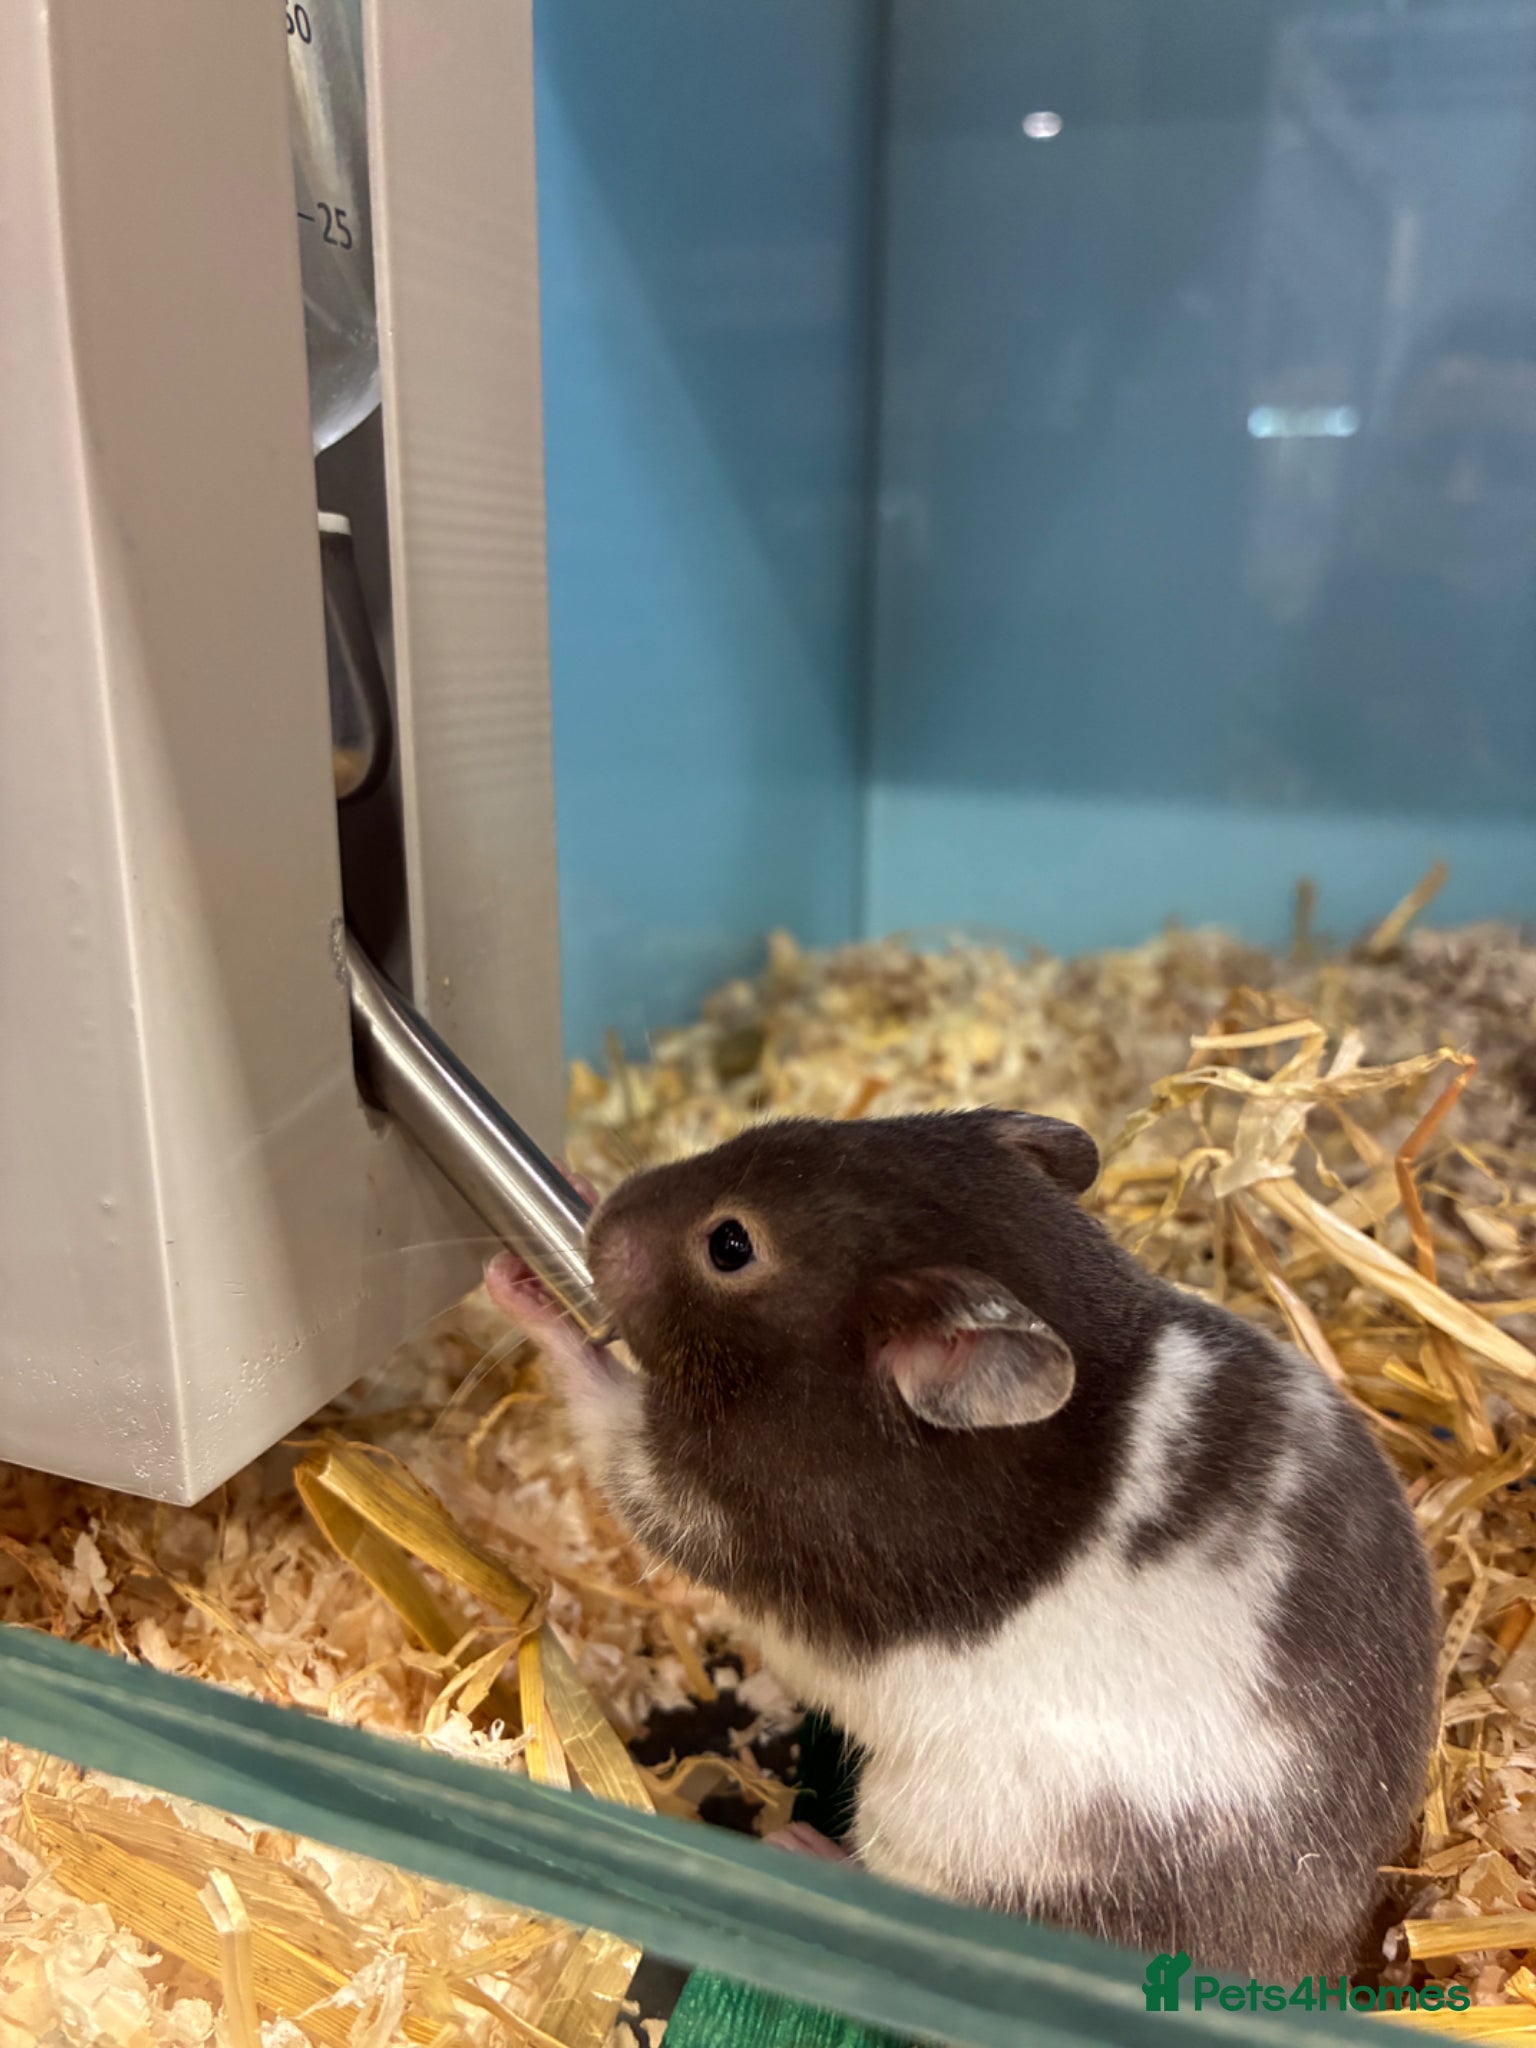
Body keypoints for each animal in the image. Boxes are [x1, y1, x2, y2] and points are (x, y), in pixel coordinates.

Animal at [487, 1110, 1438, 1979]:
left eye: (729, 1244)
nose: (603, 1220)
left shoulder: (703, 1501)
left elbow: (604, 1413)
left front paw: (515, 1281)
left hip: (929, 1828)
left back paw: (800, 1851)